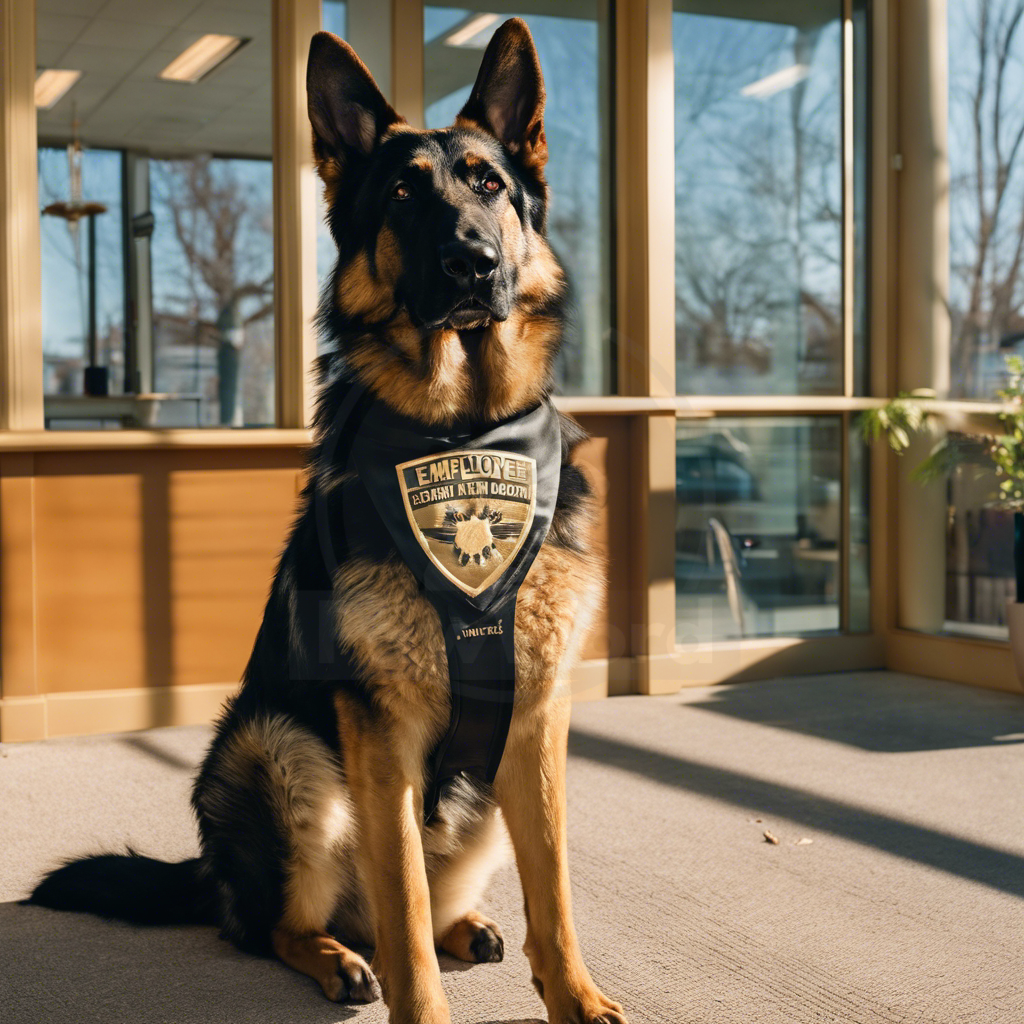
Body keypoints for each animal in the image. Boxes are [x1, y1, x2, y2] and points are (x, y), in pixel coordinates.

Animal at [28, 18, 626, 1024]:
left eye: (488, 185)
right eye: (402, 193)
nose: (474, 264)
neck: (462, 431)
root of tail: (209, 875)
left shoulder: (536, 722)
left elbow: (556, 889)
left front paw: (577, 998)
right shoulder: (380, 736)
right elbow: (402, 903)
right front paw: (422, 1009)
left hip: (468, 803)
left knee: (410, 906)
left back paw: (464, 927)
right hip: (277, 750)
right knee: (287, 924)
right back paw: (333, 955)